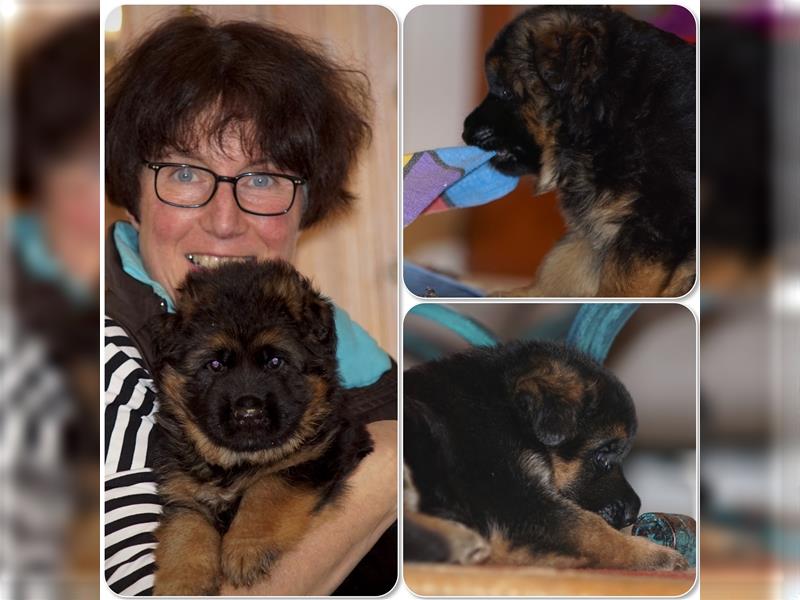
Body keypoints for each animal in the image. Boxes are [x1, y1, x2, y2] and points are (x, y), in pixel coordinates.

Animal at [462, 8, 692, 298]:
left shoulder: (658, 217)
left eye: (504, 89)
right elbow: (565, 261)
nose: (466, 131)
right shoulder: (597, 219)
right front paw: (525, 294)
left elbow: (621, 280)